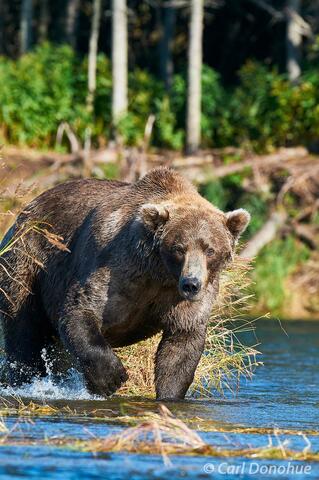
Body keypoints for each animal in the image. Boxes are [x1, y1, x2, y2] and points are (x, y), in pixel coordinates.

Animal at [0, 167, 250, 400]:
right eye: (179, 248)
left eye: (210, 249)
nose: (191, 283)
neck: (159, 273)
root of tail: (22, 215)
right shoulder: (116, 267)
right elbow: (80, 311)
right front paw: (112, 377)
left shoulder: (184, 297)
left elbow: (181, 344)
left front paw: (169, 394)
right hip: (28, 260)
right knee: (23, 331)